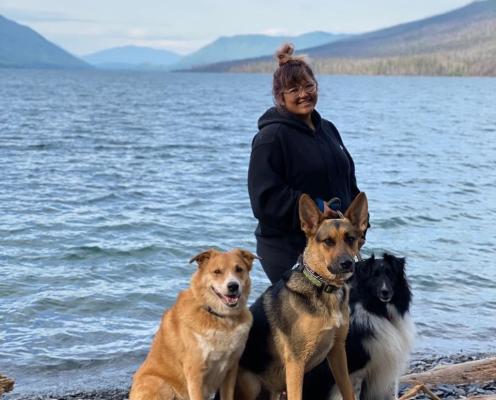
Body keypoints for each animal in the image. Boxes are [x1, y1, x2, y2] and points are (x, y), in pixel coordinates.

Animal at [130, 248, 256, 398]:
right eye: (217, 271)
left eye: (239, 269)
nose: (233, 286)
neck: (220, 317)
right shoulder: (195, 372)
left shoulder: (231, 369)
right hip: (159, 384)